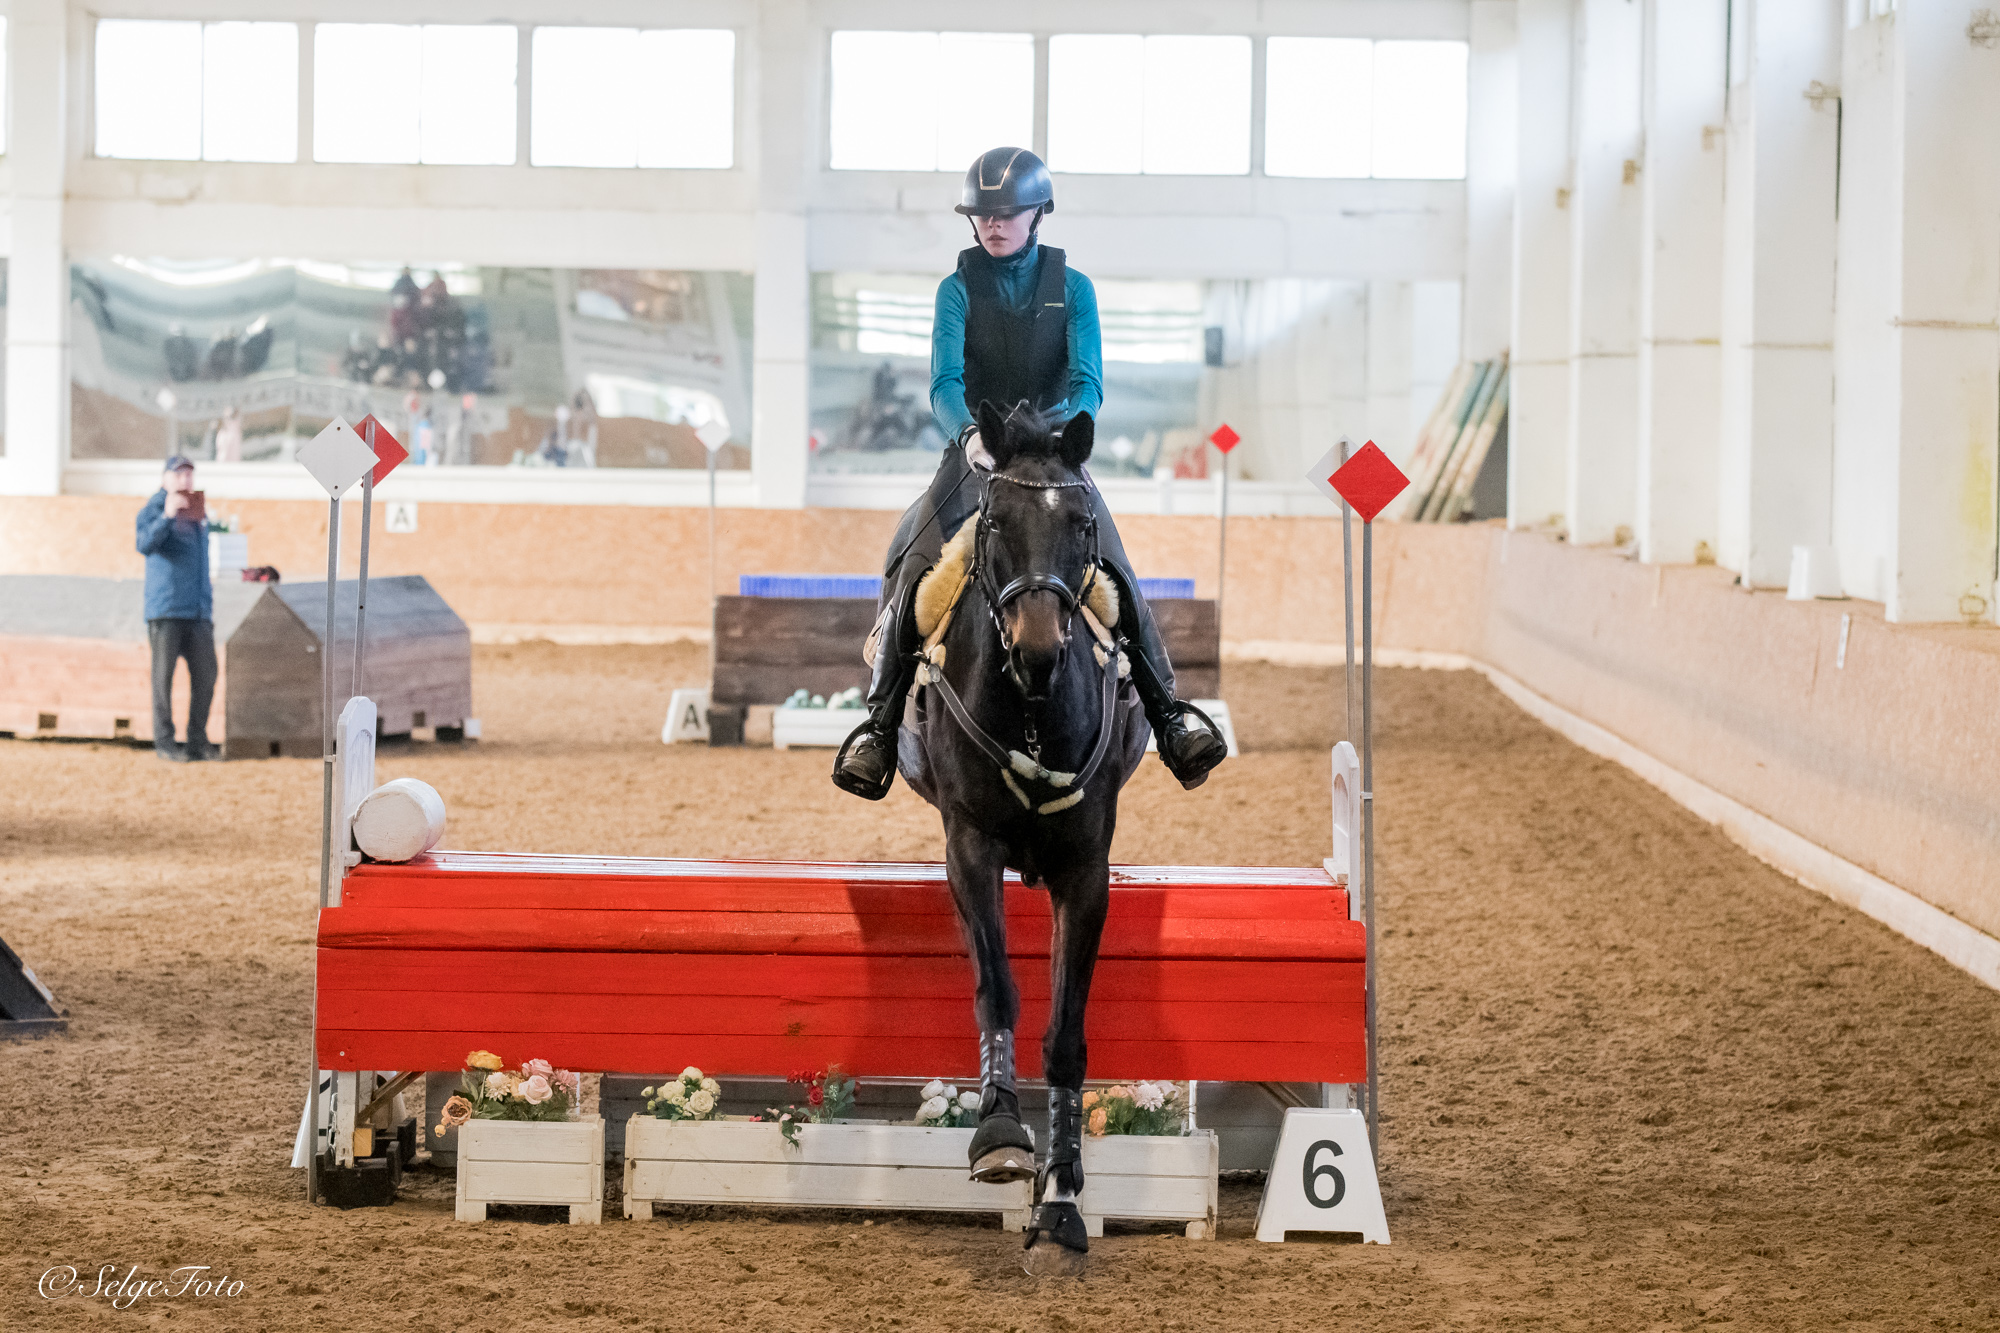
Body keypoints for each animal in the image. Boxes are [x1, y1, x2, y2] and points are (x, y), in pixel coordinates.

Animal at [896, 396, 1152, 1264]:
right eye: (996, 520)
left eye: (1081, 522)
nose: (1040, 648)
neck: (1035, 705)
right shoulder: (970, 848)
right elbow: (998, 985)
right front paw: (1001, 1135)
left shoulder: (1085, 869)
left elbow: (1066, 1032)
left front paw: (1063, 1199)